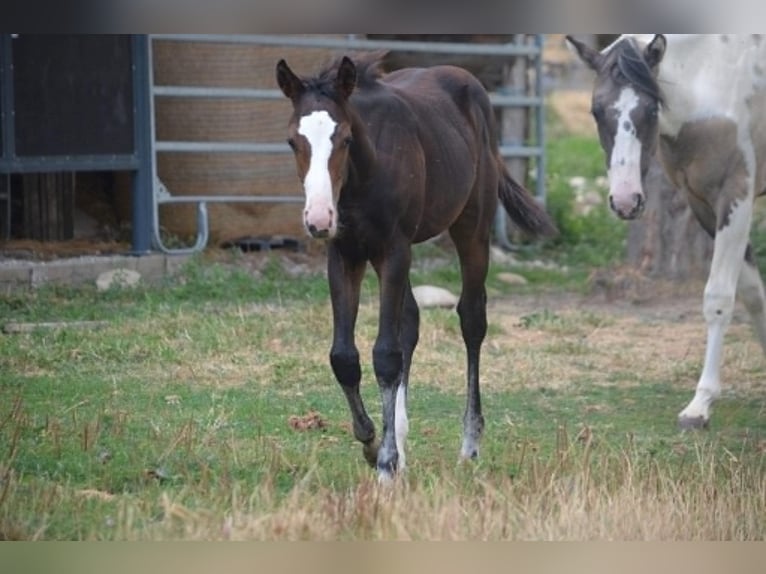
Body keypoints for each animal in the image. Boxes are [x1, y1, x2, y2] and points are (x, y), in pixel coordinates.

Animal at [276, 52, 557, 480]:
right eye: (294, 141)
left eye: (345, 139)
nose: (319, 219)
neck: (363, 178)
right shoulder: (345, 254)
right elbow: (345, 357)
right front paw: (374, 445)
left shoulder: (393, 250)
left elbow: (385, 354)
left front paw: (385, 463)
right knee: (410, 321)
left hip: (471, 228)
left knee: (471, 319)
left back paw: (469, 445)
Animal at [566, 34, 766, 429]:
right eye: (596, 111)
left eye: (650, 109)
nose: (625, 201)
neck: (712, 78)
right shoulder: (701, 203)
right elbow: (753, 294)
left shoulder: (735, 196)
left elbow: (719, 298)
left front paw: (700, 406)